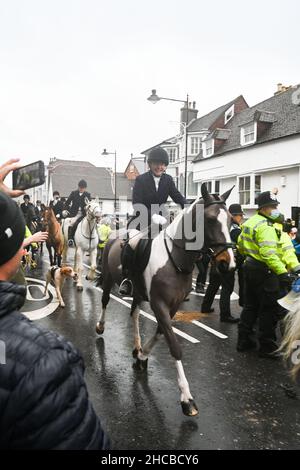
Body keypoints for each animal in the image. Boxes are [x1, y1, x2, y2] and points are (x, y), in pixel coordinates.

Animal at [95, 185, 236, 416]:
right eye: (210, 220)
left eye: (231, 220)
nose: (228, 264)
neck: (175, 259)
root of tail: (116, 233)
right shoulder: (159, 304)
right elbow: (174, 345)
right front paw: (187, 398)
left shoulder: (173, 306)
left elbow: (161, 333)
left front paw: (142, 356)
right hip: (108, 278)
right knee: (105, 301)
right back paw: (100, 326)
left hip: (137, 292)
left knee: (134, 314)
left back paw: (136, 346)